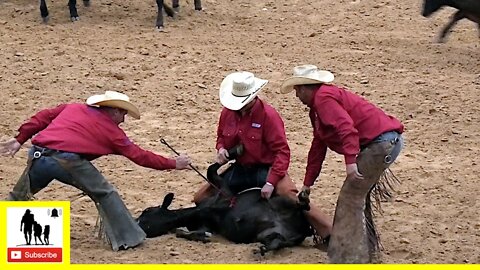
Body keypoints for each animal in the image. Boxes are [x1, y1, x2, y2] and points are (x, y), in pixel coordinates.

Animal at [137, 147, 316, 254]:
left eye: (146, 211)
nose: (136, 222)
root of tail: (304, 229)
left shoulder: (223, 189)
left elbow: (211, 170)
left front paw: (236, 149)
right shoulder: (205, 224)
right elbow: (189, 234)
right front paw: (194, 234)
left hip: (282, 201)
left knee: (302, 205)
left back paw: (303, 197)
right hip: (272, 235)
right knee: (277, 242)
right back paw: (263, 249)